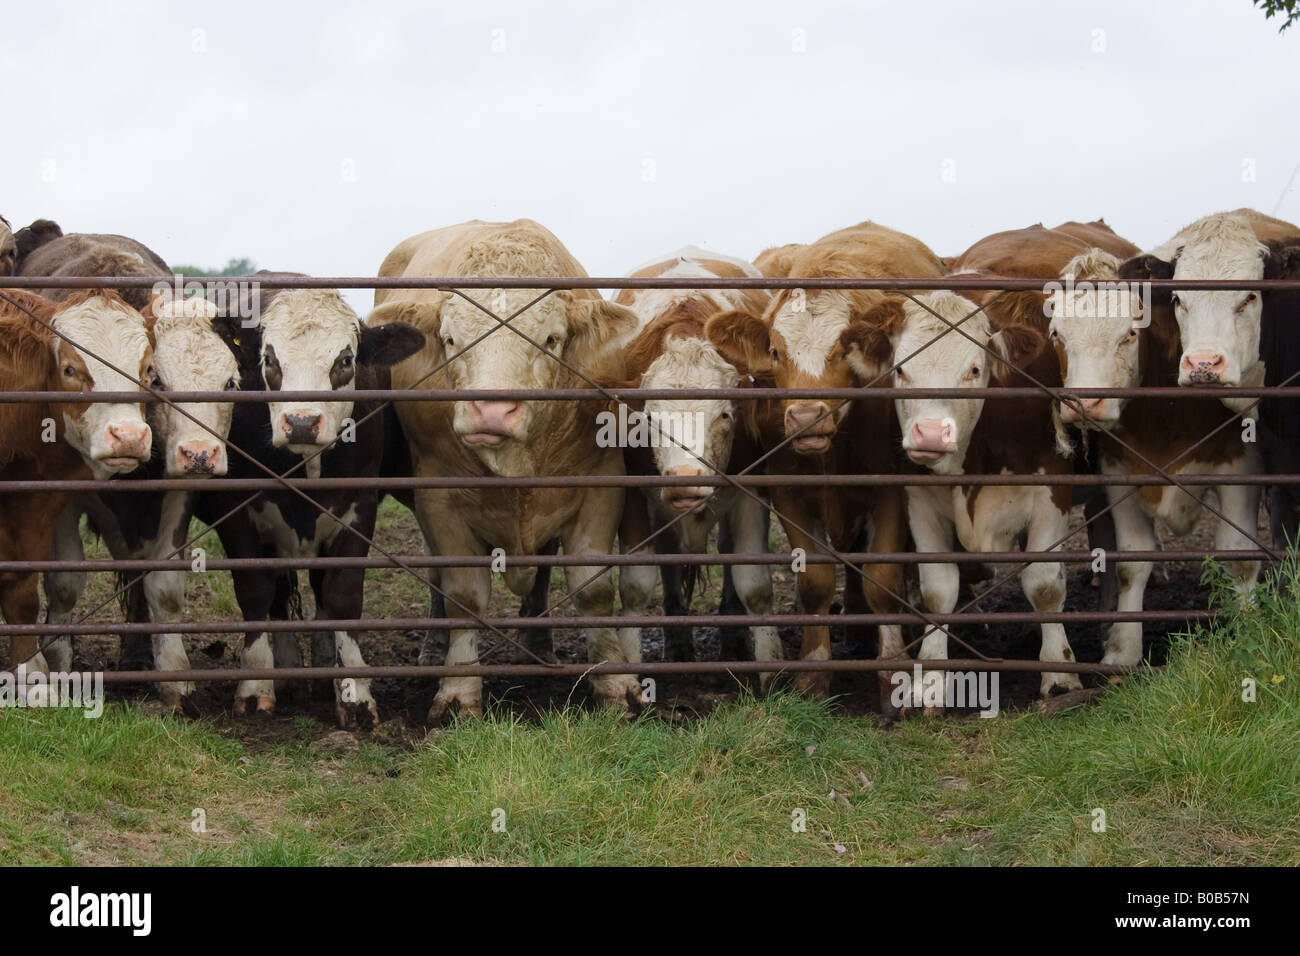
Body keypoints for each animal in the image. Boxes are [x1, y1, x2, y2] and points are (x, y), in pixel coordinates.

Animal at [195, 273, 423, 728]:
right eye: (269, 359)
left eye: (345, 360)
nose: (301, 422)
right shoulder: (237, 513)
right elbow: (255, 593)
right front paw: (255, 685)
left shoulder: (359, 508)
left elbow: (342, 597)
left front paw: (353, 692)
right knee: (279, 595)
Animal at [369, 218, 642, 723]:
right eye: (451, 339)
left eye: (551, 339)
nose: (492, 412)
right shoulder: (438, 498)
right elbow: (462, 595)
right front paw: (458, 690)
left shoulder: (601, 484)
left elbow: (592, 589)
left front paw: (615, 684)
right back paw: (434, 647)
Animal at [608, 251, 780, 671]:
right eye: (649, 418)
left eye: (725, 415)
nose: (684, 479)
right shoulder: (635, 495)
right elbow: (636, 587)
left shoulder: (752, 491)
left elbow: (754, 584)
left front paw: (771, 669)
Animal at [702, 221, 946, 707]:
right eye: (776, 352)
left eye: (843, 347)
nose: (805, 415)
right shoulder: (788, 492)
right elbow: (814, 580)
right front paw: (814, 672)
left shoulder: (890, 489)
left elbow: (882, 579)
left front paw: (891, 670)